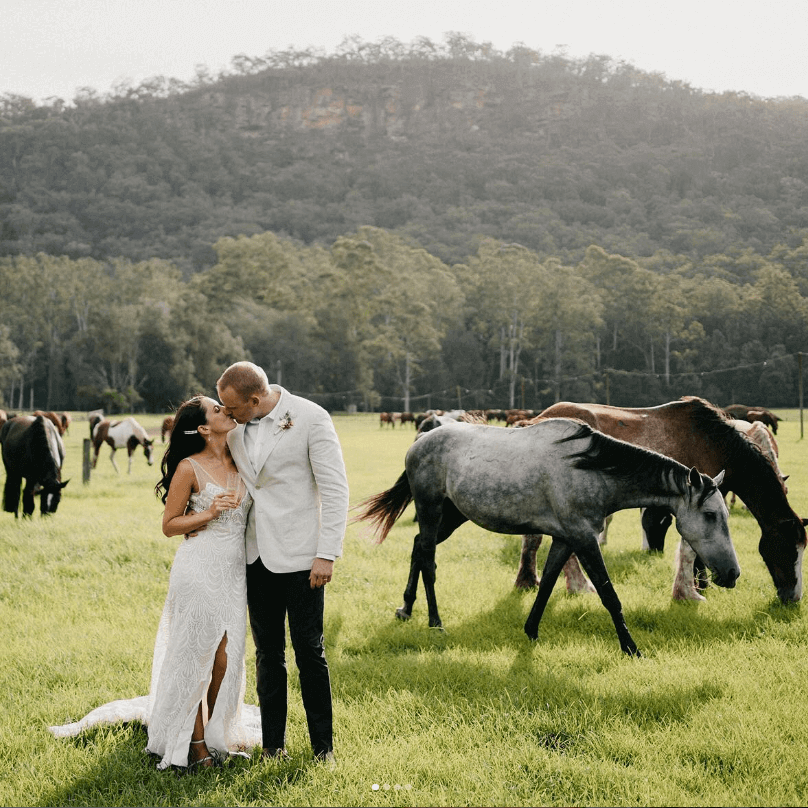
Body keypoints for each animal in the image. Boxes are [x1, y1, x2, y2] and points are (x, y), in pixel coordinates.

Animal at [356, 416, 740, 656]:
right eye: (710, 515)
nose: (733, 573)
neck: (589, 468)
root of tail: (420, 441)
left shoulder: (564, 539)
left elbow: (548, 585)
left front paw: (530, 631)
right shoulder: (584, 539)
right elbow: (609, 595)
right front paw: (632, 648)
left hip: (450, 516)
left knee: (419, 549)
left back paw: (406, 609)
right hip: (431, 509)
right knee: (429, 560)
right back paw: (435, 621)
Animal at [516, 394, 804, 604]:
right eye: (790, 549)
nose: (794, 597)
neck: (713, 444)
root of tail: (533, 422)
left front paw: (695, 586)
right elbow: (689, 549)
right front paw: (687, 593)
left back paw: (531, 580)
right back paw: (576, 585)